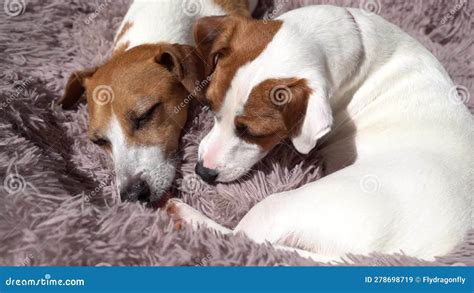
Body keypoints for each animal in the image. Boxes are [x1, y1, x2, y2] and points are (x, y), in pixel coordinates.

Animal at [168, 4, 474, 262]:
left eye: (253, 132)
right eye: (211, 106)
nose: (203, 172)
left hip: (280, 207)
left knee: (242, 240)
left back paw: (187, 215)